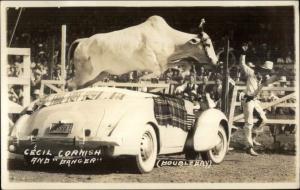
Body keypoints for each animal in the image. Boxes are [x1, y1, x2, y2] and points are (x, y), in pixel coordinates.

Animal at [67, 15, 218, 89]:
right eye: (208, 44)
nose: (216, 61)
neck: (168, 38)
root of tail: (83, 41)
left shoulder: (166, 62)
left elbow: (185, 62)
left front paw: (183, 74)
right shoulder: (154, 66)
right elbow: (155, 73)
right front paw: (141, 79)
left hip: (100, 74)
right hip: (86, 73)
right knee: (70, 85)